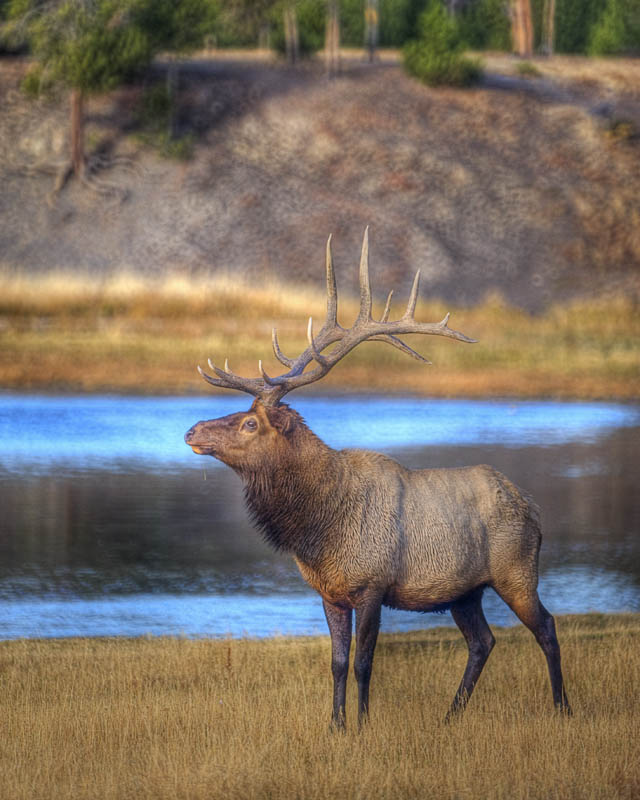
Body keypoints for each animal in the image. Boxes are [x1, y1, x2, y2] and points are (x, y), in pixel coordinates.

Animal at [185, 230, 568, 724]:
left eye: (250, 423)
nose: (192, 430)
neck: (319, 526)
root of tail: (533, 508)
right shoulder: (330, 592)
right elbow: (336, 662)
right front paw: (335, 724)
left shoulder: (372, 584)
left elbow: (364, 662)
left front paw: (363, 724)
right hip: (465, 591)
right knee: (483, 641)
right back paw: (450, 714)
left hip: (516, 570)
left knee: (546, 627)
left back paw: (562, 706)